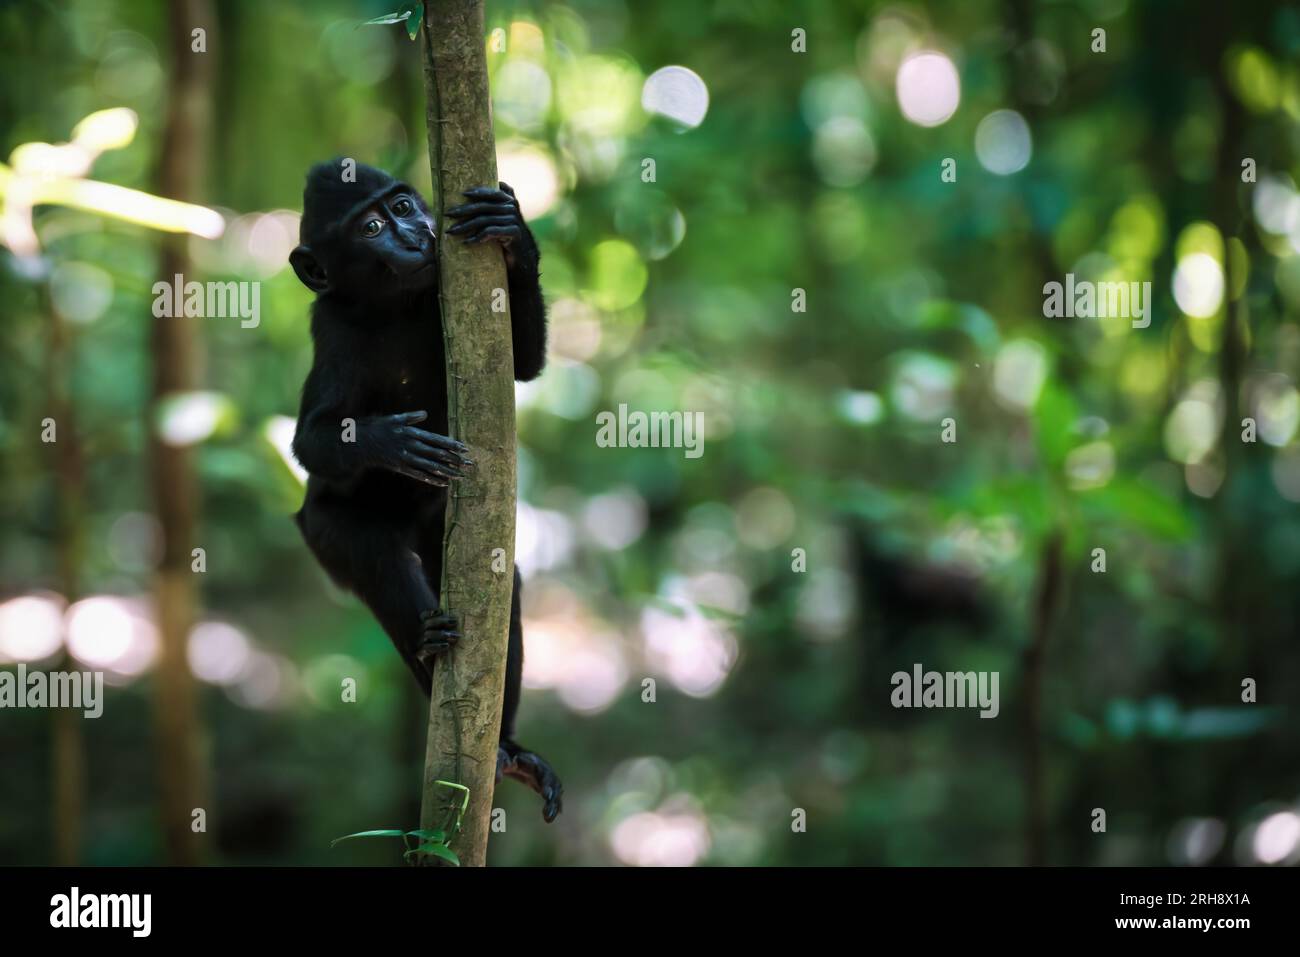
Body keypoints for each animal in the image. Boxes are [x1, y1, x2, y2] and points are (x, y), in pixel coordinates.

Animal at [288, 160, 561, 822]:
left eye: (405, 206)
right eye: (371, 227)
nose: (414, 236)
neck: (397, 302)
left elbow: (524, 364)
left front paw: (512, 230)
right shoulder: (331, 326)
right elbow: (310, 440)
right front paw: (391, 443)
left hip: (440, 524)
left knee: (500, 584)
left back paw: (509, 751)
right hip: (324, 528)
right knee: (379, 558)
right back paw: (428, 637)